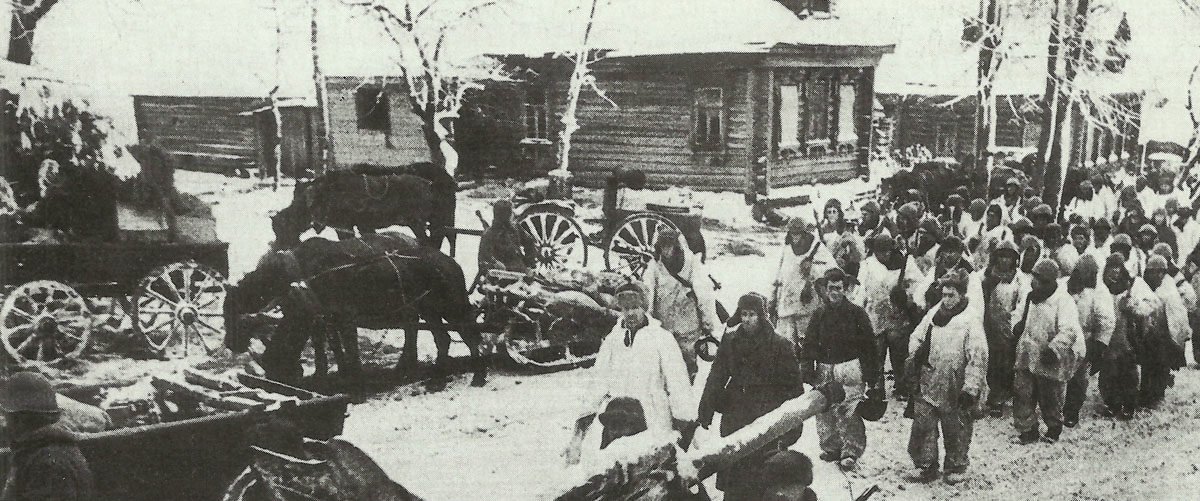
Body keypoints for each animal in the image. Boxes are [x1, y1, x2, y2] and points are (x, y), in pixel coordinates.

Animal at [223, 231, 484, 388]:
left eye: (232, 310)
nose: (229, 343)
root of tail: (451, 262)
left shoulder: (344, 315)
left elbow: (348, 347)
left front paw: (354, 378)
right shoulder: (324, 317)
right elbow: (330, 347)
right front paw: (328, 374)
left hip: (451, 306)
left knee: (470, 334)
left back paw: (478, 375)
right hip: (426, 310)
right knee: (439, 337)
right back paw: (430, 375)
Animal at [271, 173, 436, 249]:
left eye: (284, 225)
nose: (277, 247)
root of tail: (428, 185)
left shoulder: (345, 227)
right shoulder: (361, 226)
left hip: (416, 223)